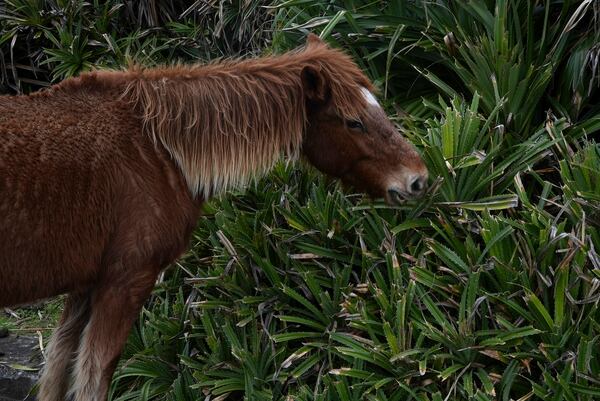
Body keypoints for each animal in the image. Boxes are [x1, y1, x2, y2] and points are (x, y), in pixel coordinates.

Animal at [0, 35, 426, 400]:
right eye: (354, 121)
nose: (418, 179)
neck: (157, 148)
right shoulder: (124, 281)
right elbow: (92, 379)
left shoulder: (87, 286)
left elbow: (57, 374)